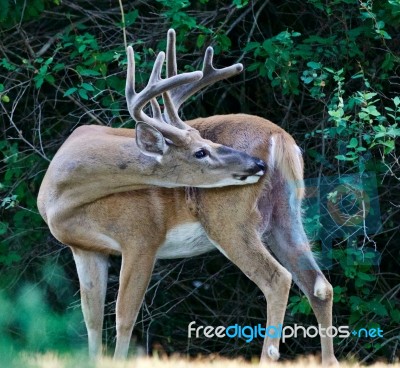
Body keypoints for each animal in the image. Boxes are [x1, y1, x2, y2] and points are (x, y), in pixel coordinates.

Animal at [36, 29, 338, 366]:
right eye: (201, 150)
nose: (256, 165)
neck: (63, 198)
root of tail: (281, 138)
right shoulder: (85, 249)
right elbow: (91, 320)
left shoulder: (141, 237)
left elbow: (124, 317)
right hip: (286, 213)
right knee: (319, 285)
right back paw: (329, 360)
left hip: (229, 220)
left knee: (278, 279)